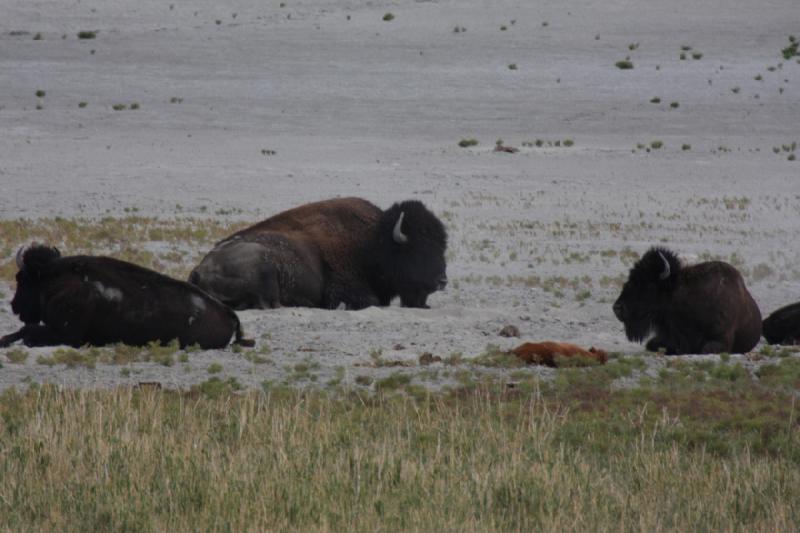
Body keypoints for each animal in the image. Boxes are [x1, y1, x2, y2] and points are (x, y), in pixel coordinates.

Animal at [0, 245, 250, 350]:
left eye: (21, 278)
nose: (14, 305)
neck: (55, 278)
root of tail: (228, 312)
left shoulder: (66, 335)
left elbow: (28, 331)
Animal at [189, 197, 450, 310]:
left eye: (442, 246)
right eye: (418, 248)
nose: (442, 281)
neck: (371, 243)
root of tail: (199, 270)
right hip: (265, 266)